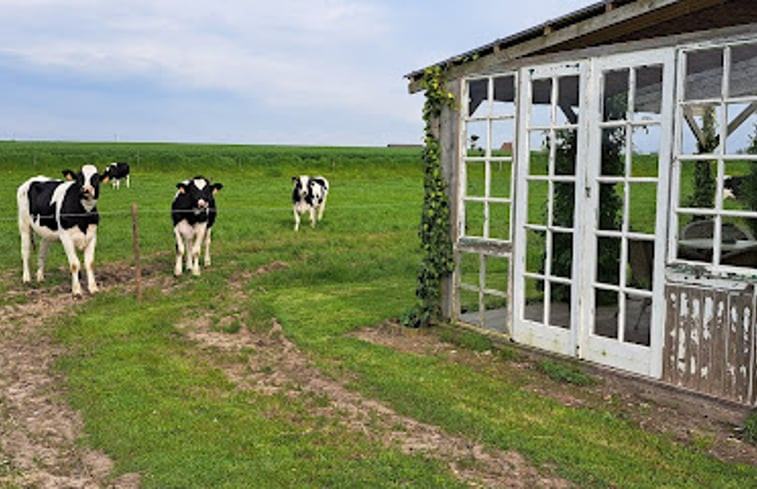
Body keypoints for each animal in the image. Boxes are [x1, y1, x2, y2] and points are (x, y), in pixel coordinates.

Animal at [16, 164, 110, 296]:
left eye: (96, 178)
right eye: (79, 178)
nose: (86, 190)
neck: (83, 216)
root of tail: (32, 179)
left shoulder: (92, 237)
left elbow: (90, 264)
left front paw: (93, 288)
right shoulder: (66, 238)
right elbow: (75, 264)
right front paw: (76, 290)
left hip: (46, 232)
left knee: (42, 252)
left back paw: (40, 277)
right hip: (24, 224)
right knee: (25, 252)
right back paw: (26, 278)